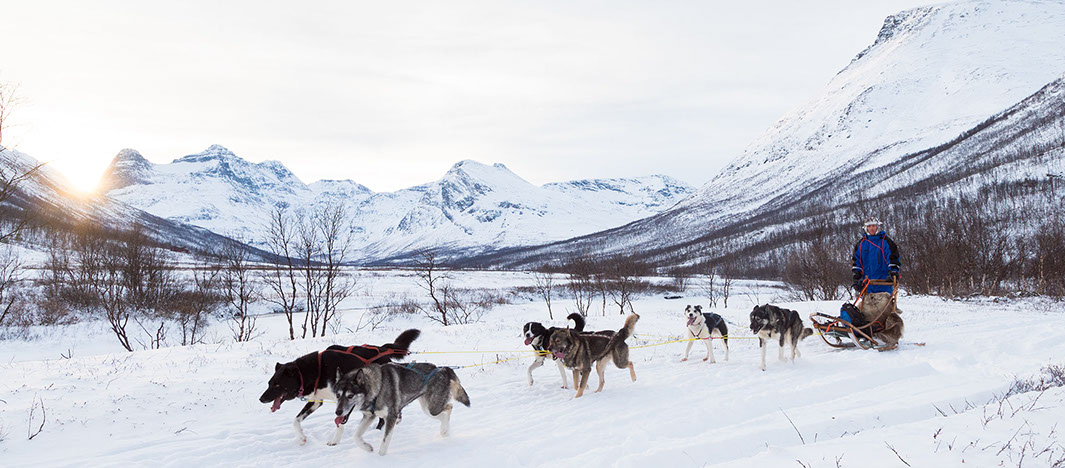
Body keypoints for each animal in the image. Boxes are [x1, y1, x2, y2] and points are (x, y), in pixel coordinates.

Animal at [257, 330, 419, 447]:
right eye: (269, 383)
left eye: (277, 384)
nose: (261, 399)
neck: (318, 371)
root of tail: (383, 349)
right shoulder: (316, 401)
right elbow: (296, 421)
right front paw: (302, 438)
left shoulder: (344, 400)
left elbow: (340, 422)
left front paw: (335, 441)